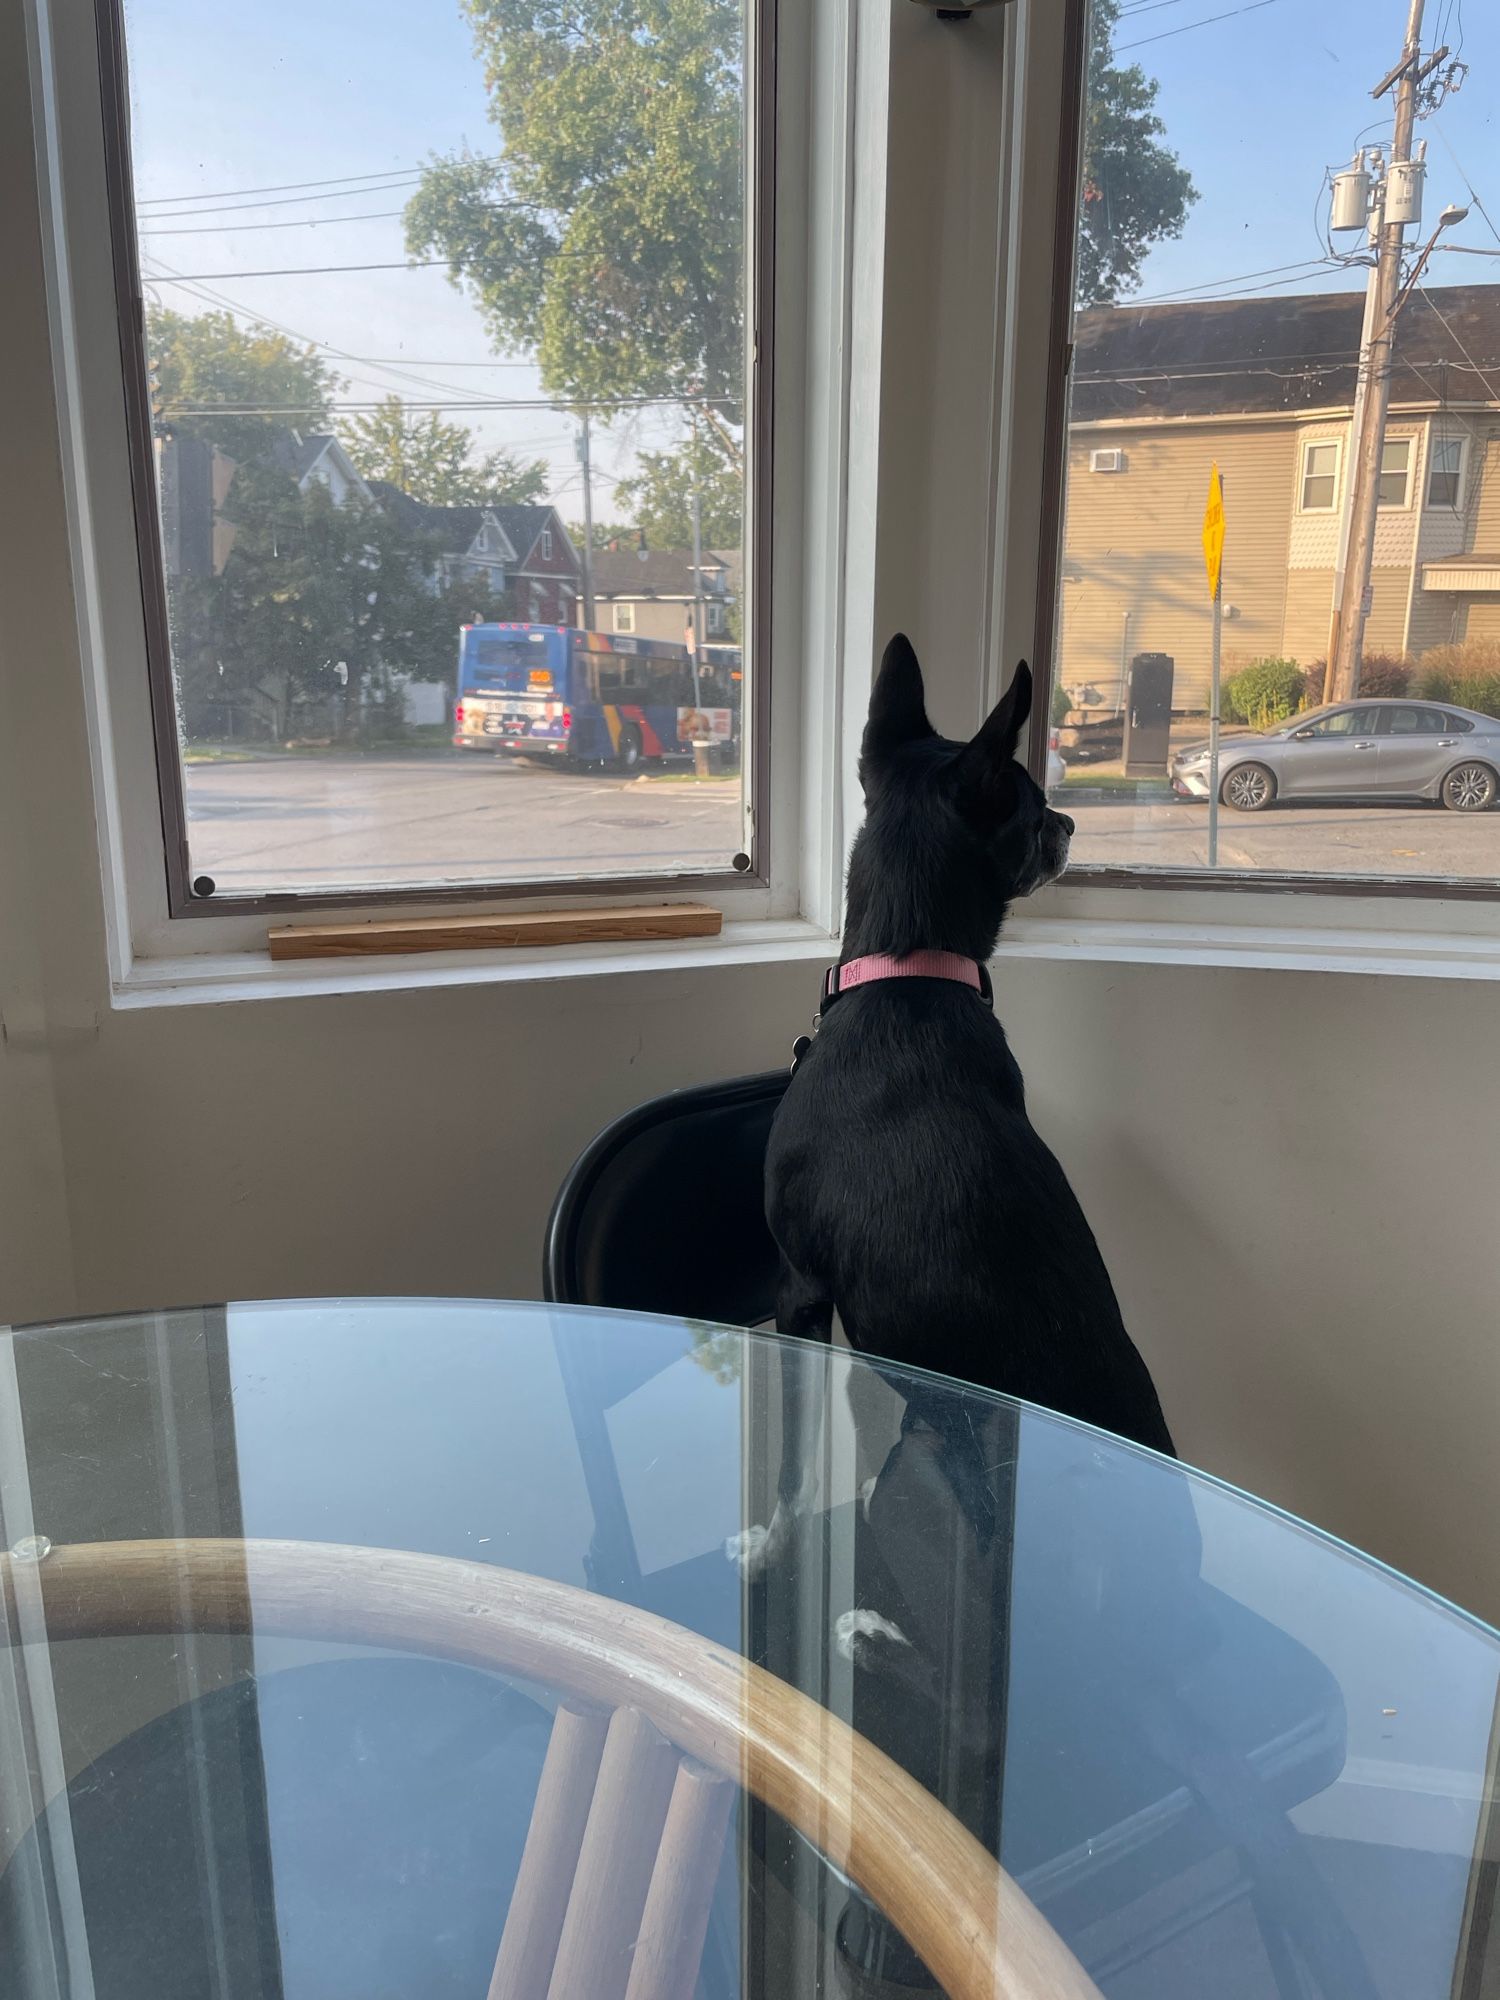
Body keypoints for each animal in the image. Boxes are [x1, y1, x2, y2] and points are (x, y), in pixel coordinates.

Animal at [736, 640, 1184, 1576]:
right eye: (1036, 808)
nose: (1071, 824)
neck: (909, 969)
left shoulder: (799, 1289)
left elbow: (794, 1453)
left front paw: (773, 1535)